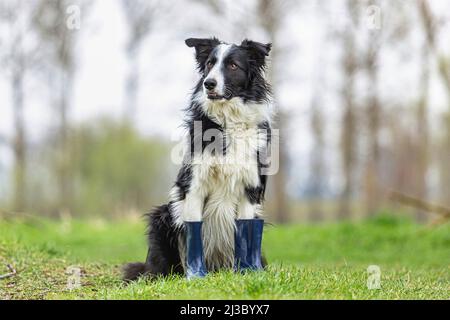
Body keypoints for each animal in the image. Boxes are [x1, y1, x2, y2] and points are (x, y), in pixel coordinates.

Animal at [121, 37, 272, 282]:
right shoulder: (194, 185)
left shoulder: (250, 187)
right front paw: (196, 276)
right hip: (162, 216)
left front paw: (244, 272)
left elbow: (245, 230)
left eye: (233, 66)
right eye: (210, 63)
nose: (208, 83)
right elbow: (194, 231)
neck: (228, 120)